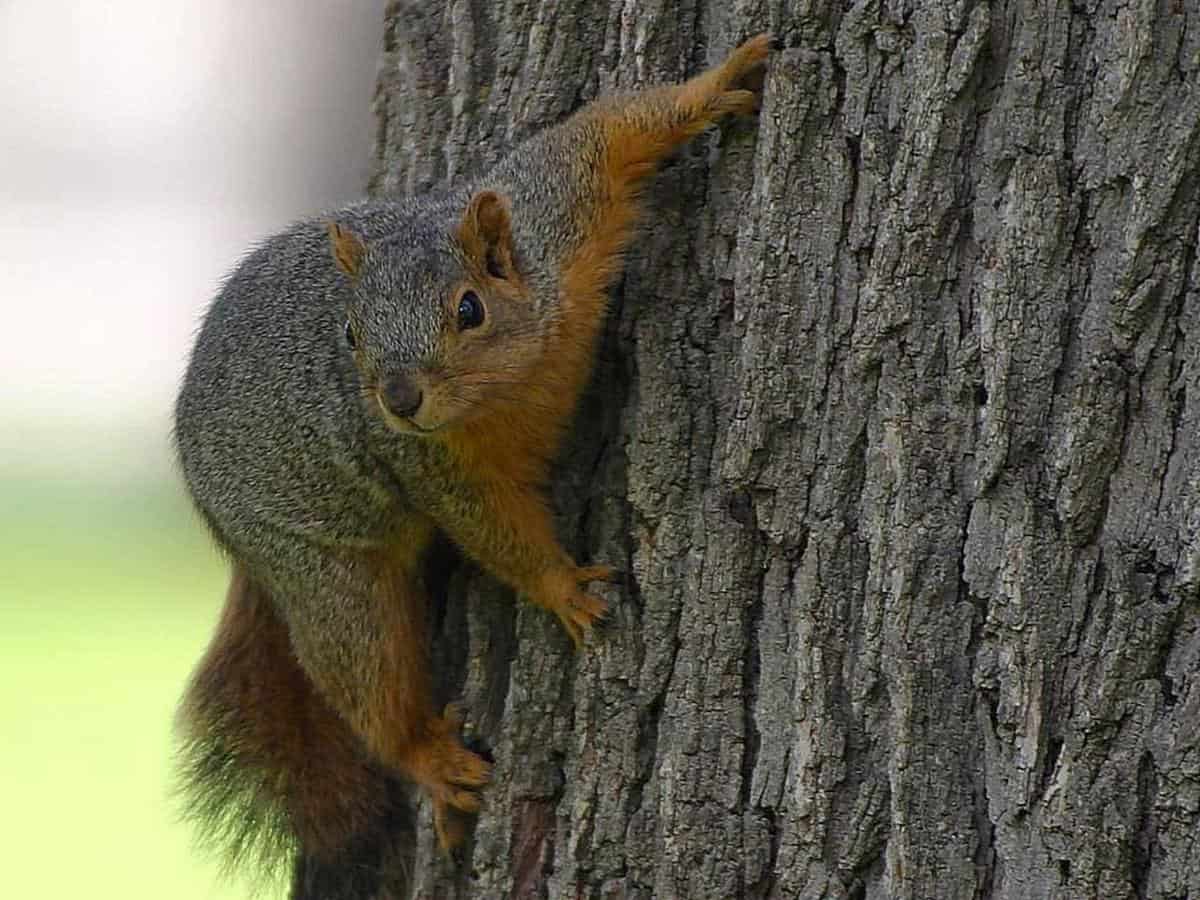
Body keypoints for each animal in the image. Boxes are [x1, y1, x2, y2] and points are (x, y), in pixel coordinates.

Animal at [174, 31, 772, 897]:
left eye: (469, 308)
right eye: (350, 334)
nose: (397, 398)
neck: (514, 382)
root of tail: (222, 529)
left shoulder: (555, 214)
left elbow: (606, 132)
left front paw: (719, 82)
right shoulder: (430, 465)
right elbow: (492, 531)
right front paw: (562, 587)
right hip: (324, 573)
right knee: (364, 678)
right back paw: (432, 761)